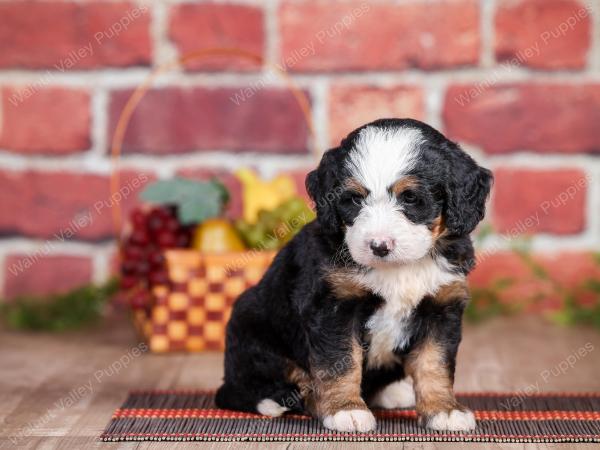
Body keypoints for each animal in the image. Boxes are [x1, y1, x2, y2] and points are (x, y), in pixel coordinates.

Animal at [216, 118, 492, 432]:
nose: (379, 245)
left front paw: (444, 410)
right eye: (355, 200)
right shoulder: (334, 306)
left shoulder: (441, 306)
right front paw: (344, 410)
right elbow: (340, 361)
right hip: (251, 328)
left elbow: (434, 363)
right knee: (270, 383)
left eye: (411, 198)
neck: (399, 269)